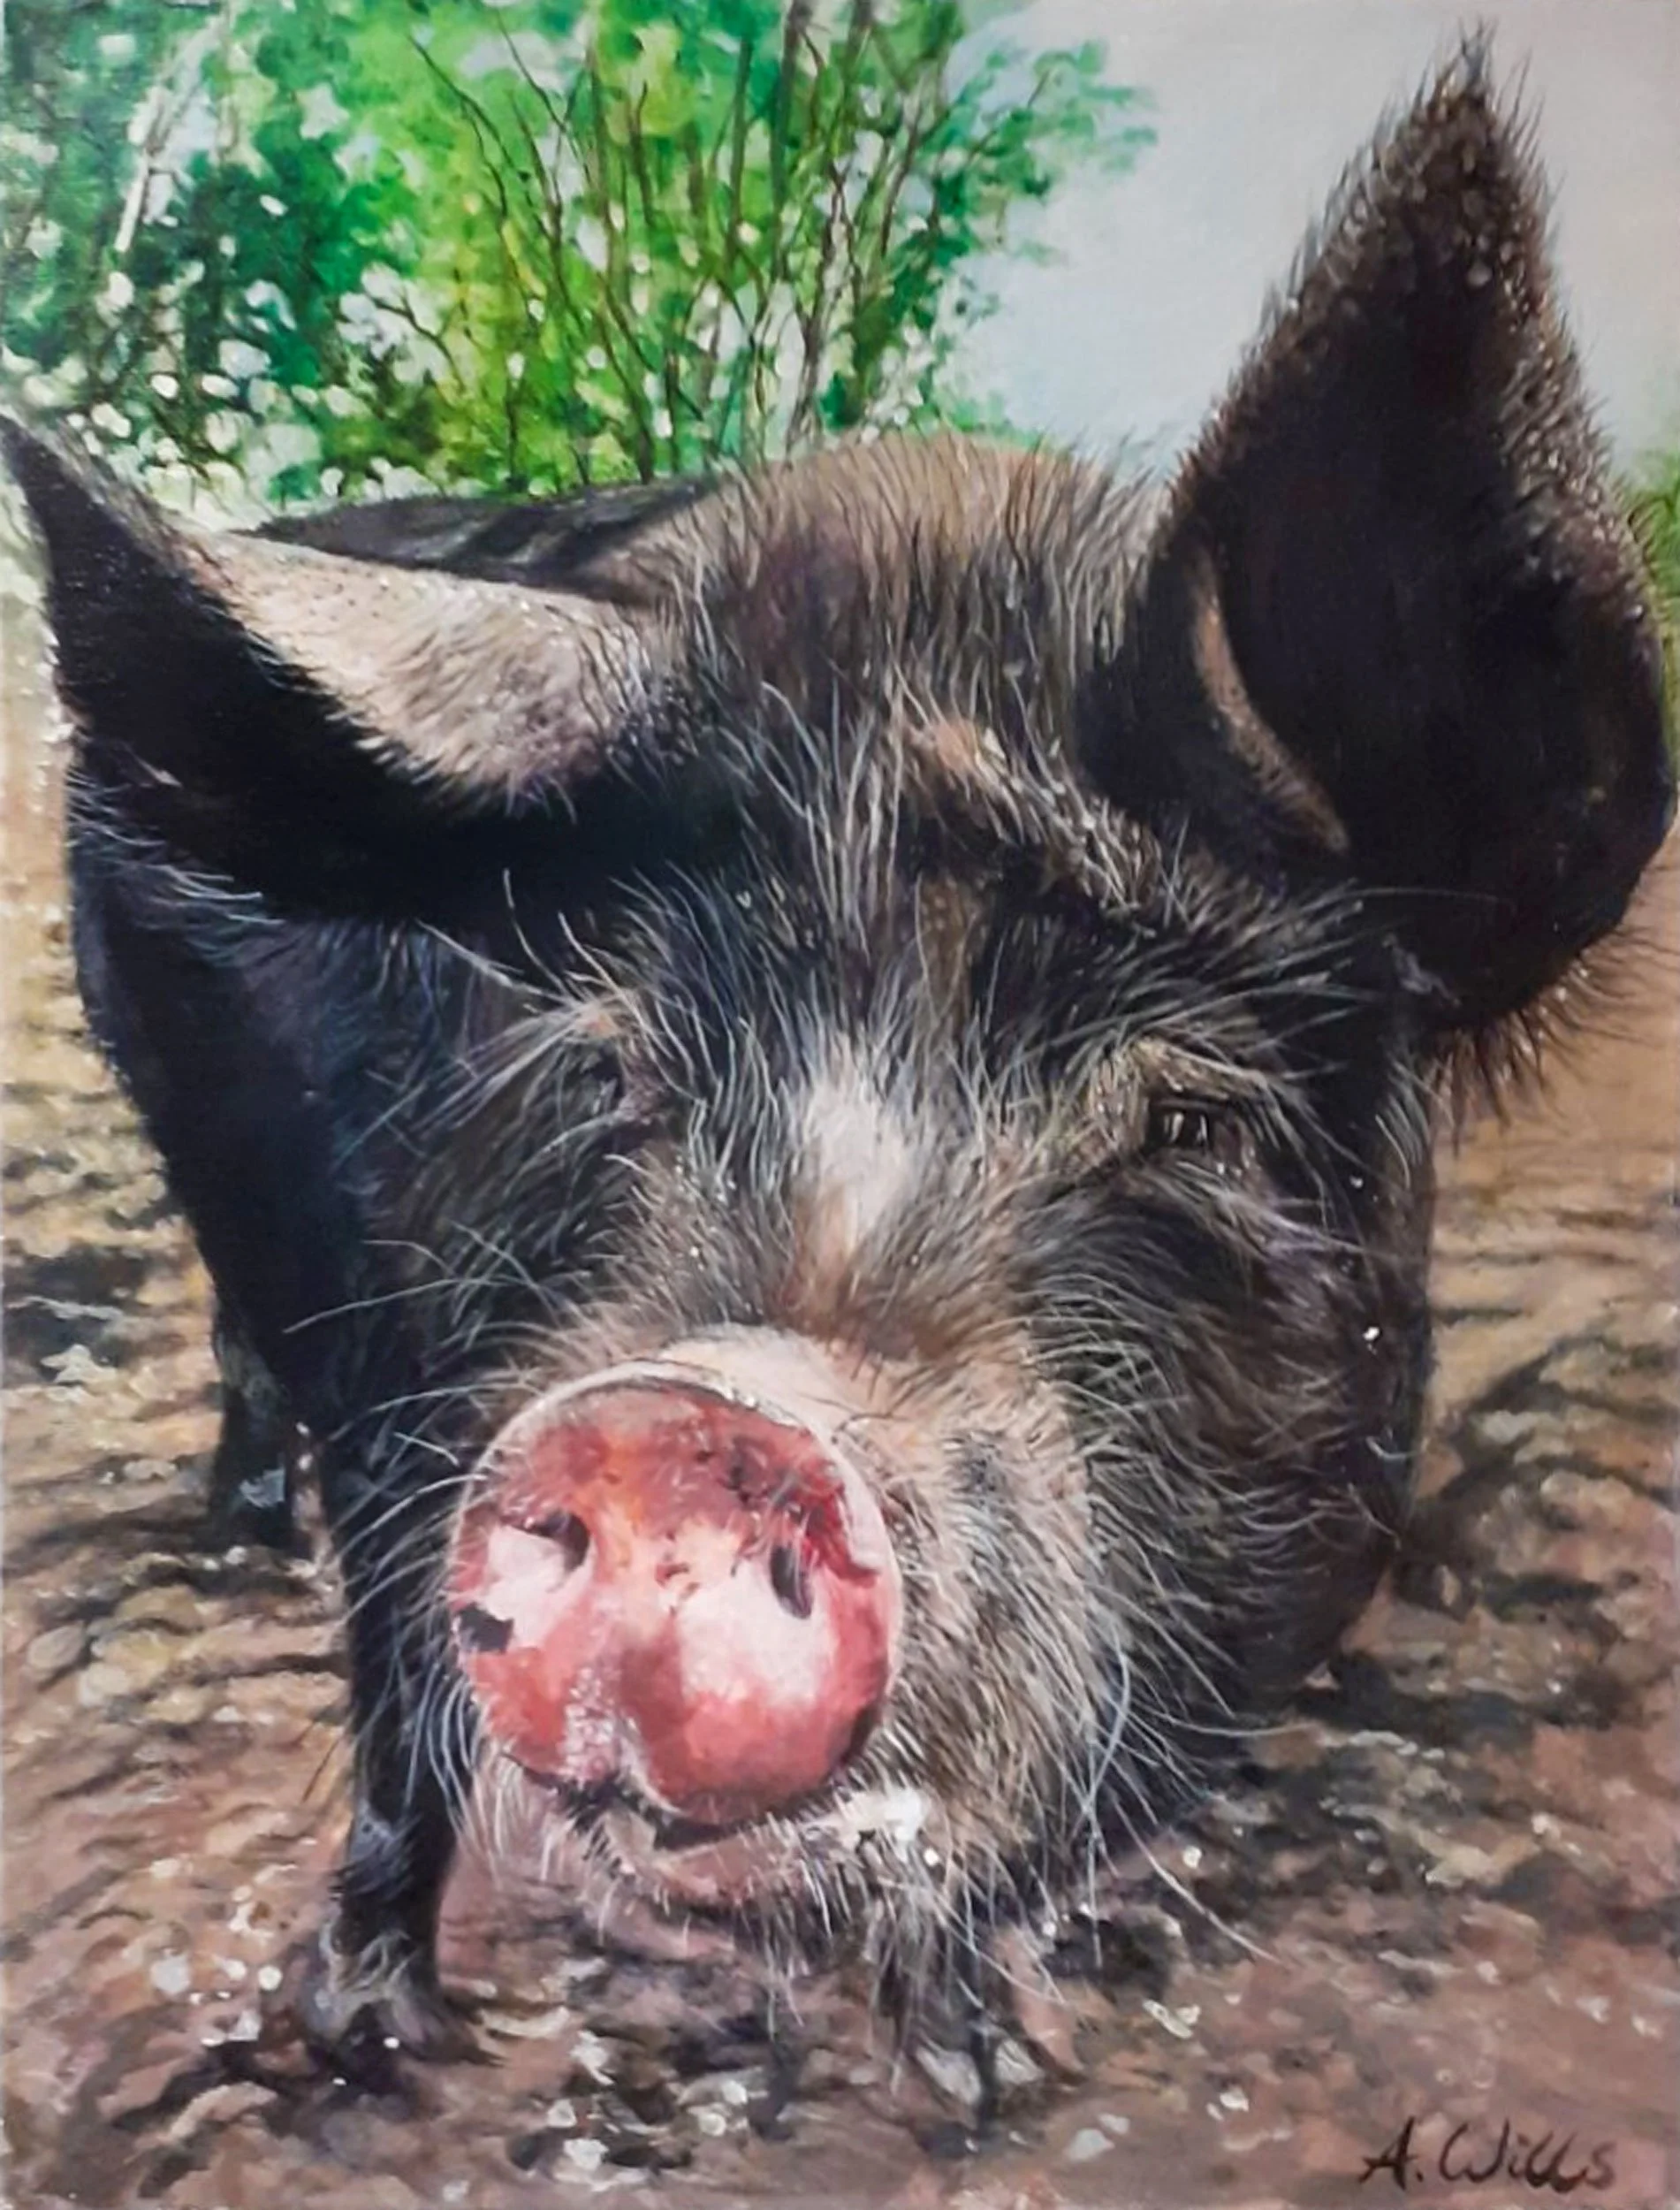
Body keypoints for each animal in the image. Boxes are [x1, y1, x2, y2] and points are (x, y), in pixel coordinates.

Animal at [6, 45, 1672, 2072]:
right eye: (612, 1067)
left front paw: (978, 2063)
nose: (687, 1423)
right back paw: (240, 1546)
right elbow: (400, 1696)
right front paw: (363, 2044)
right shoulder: (398, 1377)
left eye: (1195, 1116)